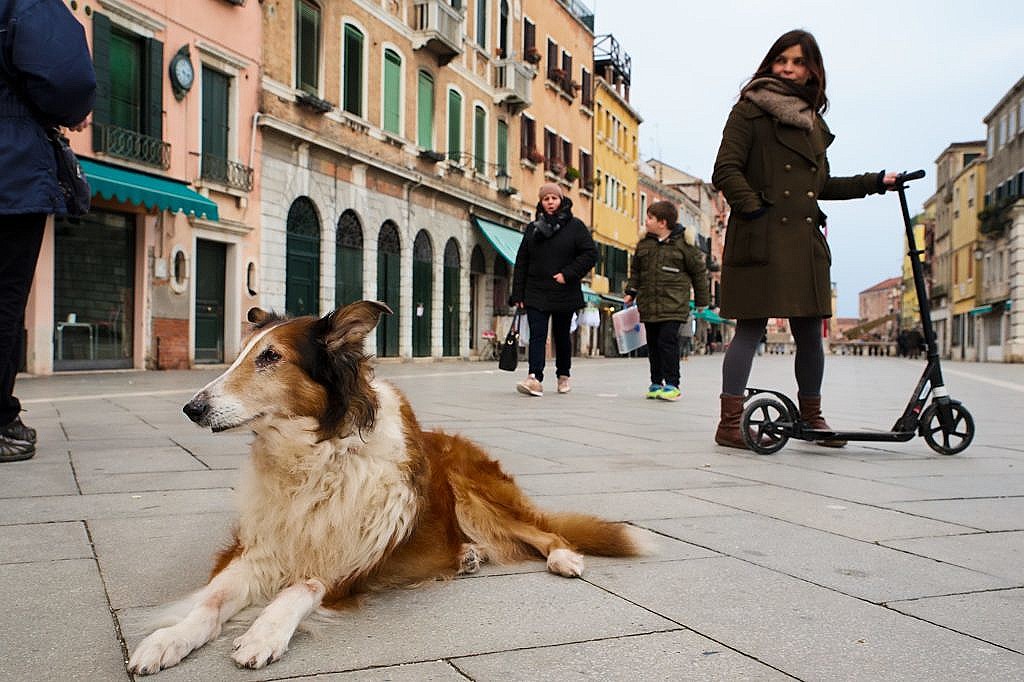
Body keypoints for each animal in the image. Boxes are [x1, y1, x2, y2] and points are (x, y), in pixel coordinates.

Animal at [125, 301, 638, 671]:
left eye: (271, 357)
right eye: (239, 357)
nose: (192, 408)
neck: (315, 457)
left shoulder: (349, 562)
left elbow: (301, 587)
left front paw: (262, 633)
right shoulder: (261, 547)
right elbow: (210, 601)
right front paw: (168, 640)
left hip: (477, 495)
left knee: (542, 531)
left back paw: (564, 557)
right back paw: (468, 555)